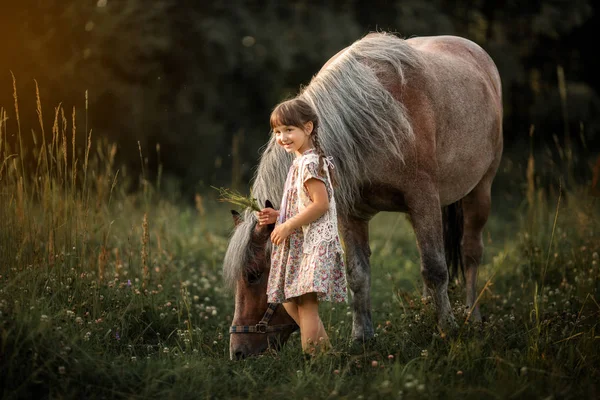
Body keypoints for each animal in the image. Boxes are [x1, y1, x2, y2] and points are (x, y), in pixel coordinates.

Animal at [220, 32, 502, 360]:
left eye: (254, 275)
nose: (238, 352)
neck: (372, 118)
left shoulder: (423, 199)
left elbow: (435, 269)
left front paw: (448, 330)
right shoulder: (350, 213)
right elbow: (358, 275)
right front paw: (362, 337)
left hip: (479, 192)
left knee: (470, 252)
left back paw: (472, 315)